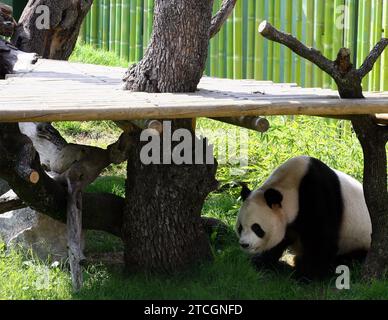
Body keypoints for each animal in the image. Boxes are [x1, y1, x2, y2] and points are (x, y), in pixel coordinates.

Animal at [235, 156, 372, 278]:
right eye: (240, 227)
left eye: (256, 228)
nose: (244, 244)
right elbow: (280, 240)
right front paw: (260, 262)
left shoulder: (320, 196)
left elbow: (320, 239)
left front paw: (305, 275)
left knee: (352, 258)